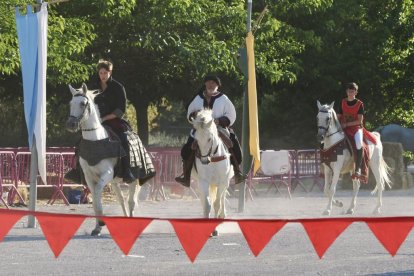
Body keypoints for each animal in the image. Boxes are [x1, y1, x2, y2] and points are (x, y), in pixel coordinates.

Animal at [65, 83, 141, 235]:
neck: (95, 140)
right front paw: (97, 227)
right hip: (115, 182)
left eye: (83, 103)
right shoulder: (89, 177)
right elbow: (95, 201)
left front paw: (101, 222)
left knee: (131, 201)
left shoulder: (106, 174)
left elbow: (97, 195)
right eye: (71, 103)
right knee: (122, 199)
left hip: (134, 179)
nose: (71, 124)